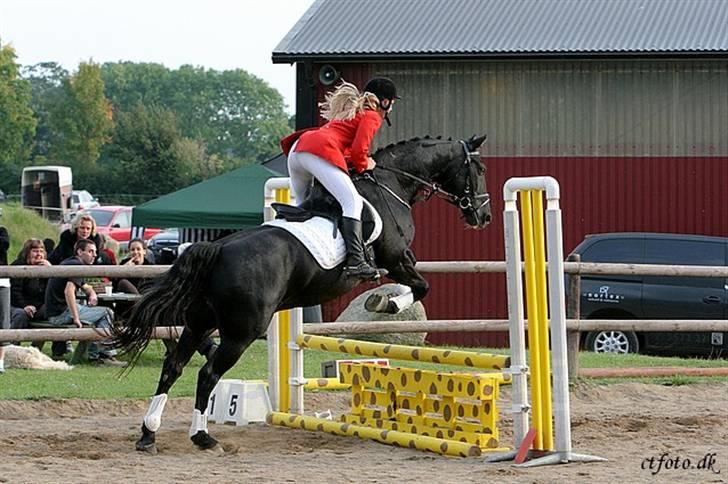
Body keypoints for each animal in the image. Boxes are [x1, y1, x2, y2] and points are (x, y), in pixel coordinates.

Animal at [112, 133, 490, 454]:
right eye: (480, 169)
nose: (483, 215)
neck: (391, 184)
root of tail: (218, 249)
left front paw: (384, 301)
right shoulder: (396, 259)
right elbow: (421, 286)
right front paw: (388, 302)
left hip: (200, 321)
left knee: (173, 365)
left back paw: (148, 434)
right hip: (240, 332)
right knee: (207, 374)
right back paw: (203, 437)